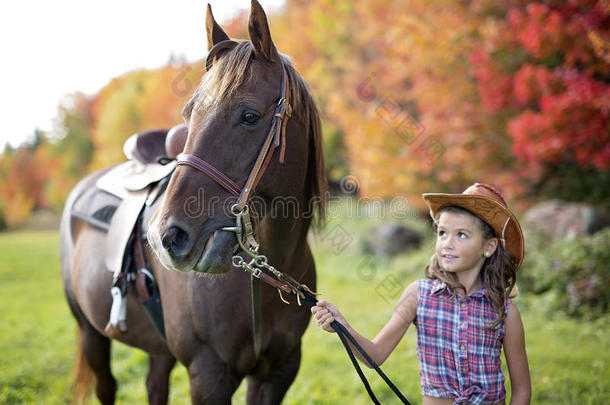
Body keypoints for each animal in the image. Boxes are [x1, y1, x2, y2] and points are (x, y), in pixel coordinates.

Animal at [60, 1, 328, 402]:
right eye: (189, 114)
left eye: (249, 115)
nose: (167, 237)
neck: (263, 278)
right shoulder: (208, 373)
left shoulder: (278, 372)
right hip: (91, 333)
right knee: (106, 386)